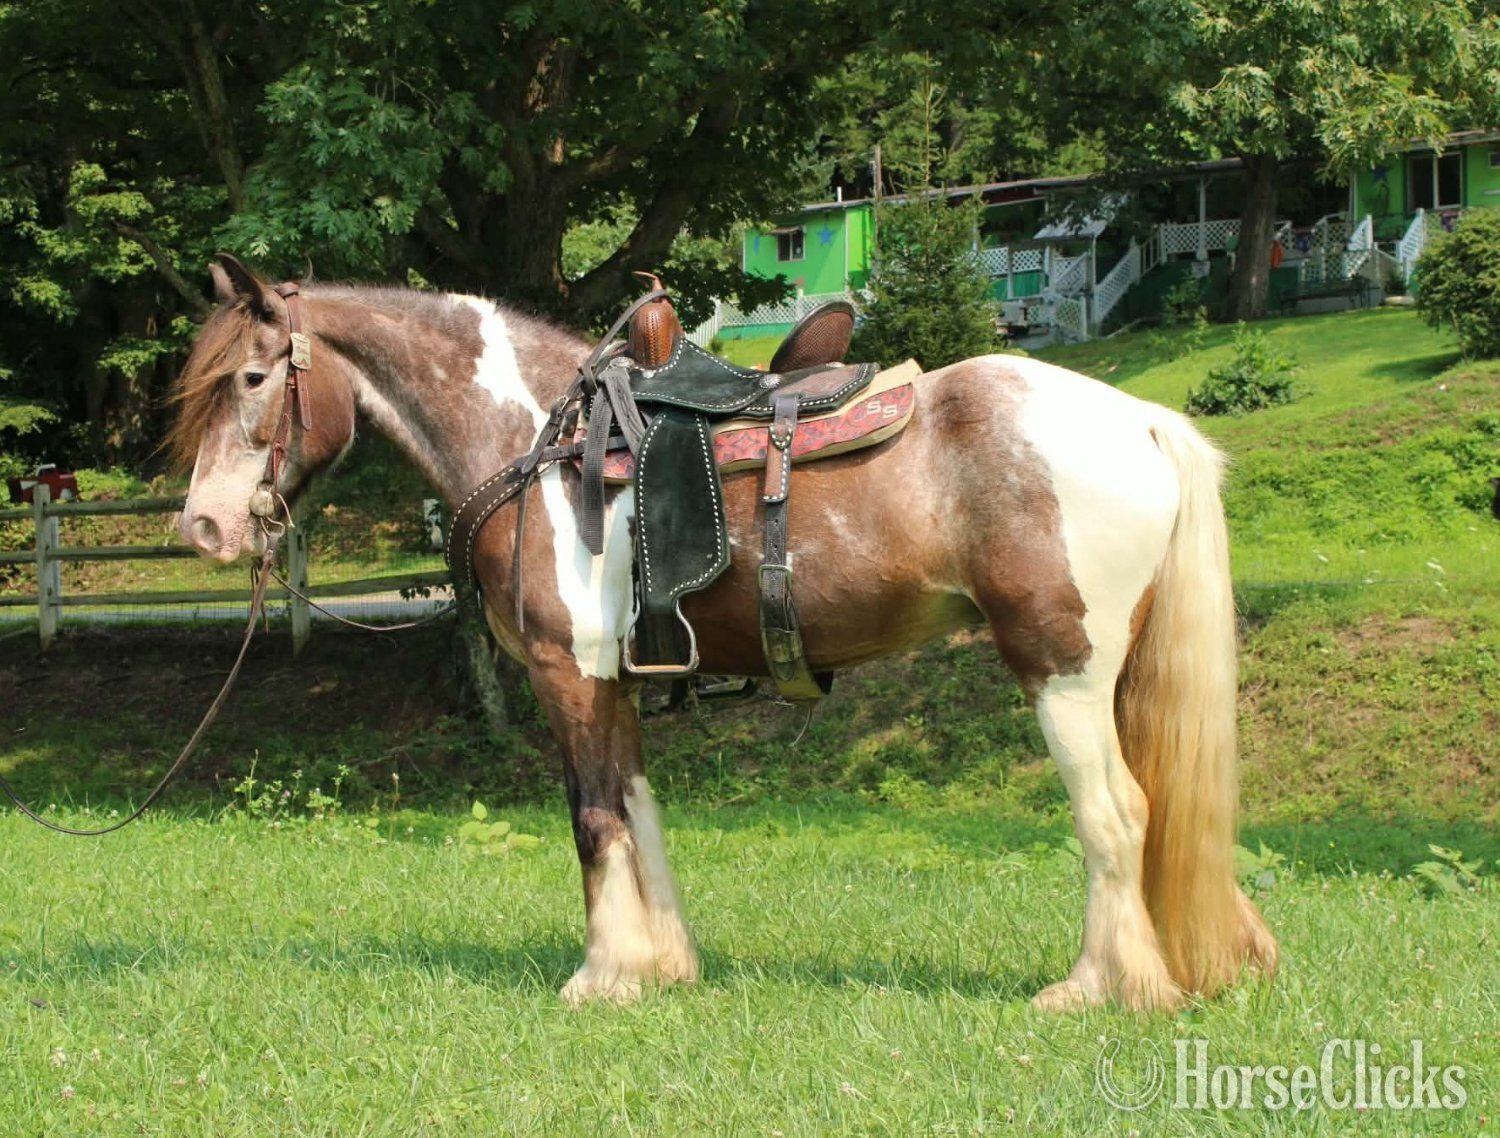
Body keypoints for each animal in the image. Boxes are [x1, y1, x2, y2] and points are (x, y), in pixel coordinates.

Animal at [171, 255, 1277, 1011]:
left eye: (253, 381)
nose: (206, 526)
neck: (542, 442)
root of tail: (1140, 421)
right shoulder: (615, 681)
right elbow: (640, 811)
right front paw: (661, 966)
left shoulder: (568, 676)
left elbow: (593, 819)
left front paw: (602, 974)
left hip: (1062, 669)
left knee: (1115, 814)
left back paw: (1097, 987)